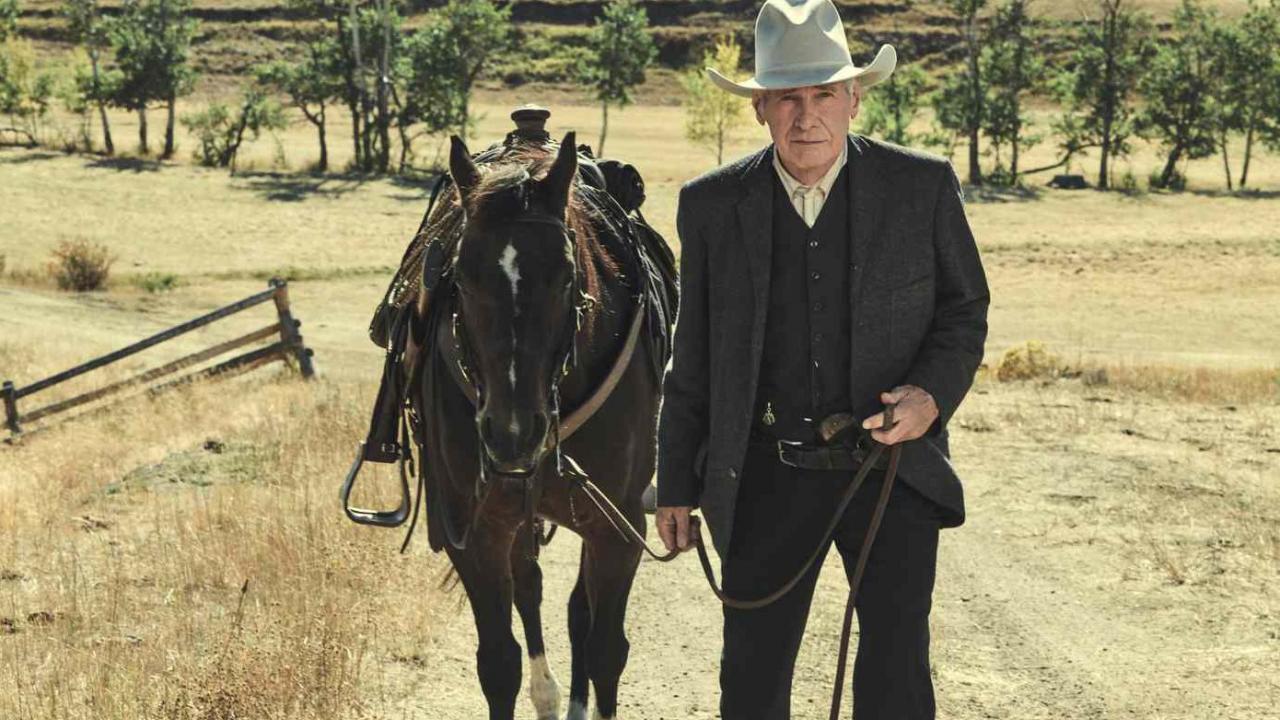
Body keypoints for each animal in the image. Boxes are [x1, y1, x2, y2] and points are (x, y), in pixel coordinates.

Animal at [409, 130, 665, 717]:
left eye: (565, 275)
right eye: (461, 276)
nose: (513, 434)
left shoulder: (618, 529)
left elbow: (606, 650)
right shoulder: (476, 533)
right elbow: (498, 662)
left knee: (577, 613)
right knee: (530, 587)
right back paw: (547, 693)